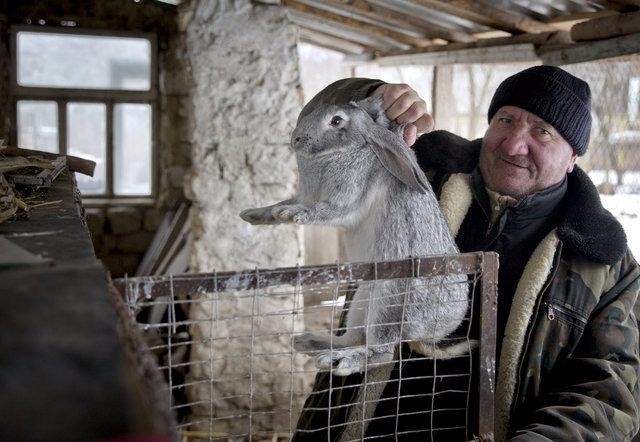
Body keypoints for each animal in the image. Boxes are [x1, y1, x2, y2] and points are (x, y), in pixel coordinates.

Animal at [240, 96, 470, 376]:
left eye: (336, 120)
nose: (296, 138)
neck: (350, 149)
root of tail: (439, 329)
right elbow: (284, 203)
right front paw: (254, 214)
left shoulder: (345, 199)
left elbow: (322, 210)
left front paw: (291, 213)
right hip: (362, 299)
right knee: (354, 337)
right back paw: (311, 343)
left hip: (390, 305)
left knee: (381, 352)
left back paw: (339, 361)